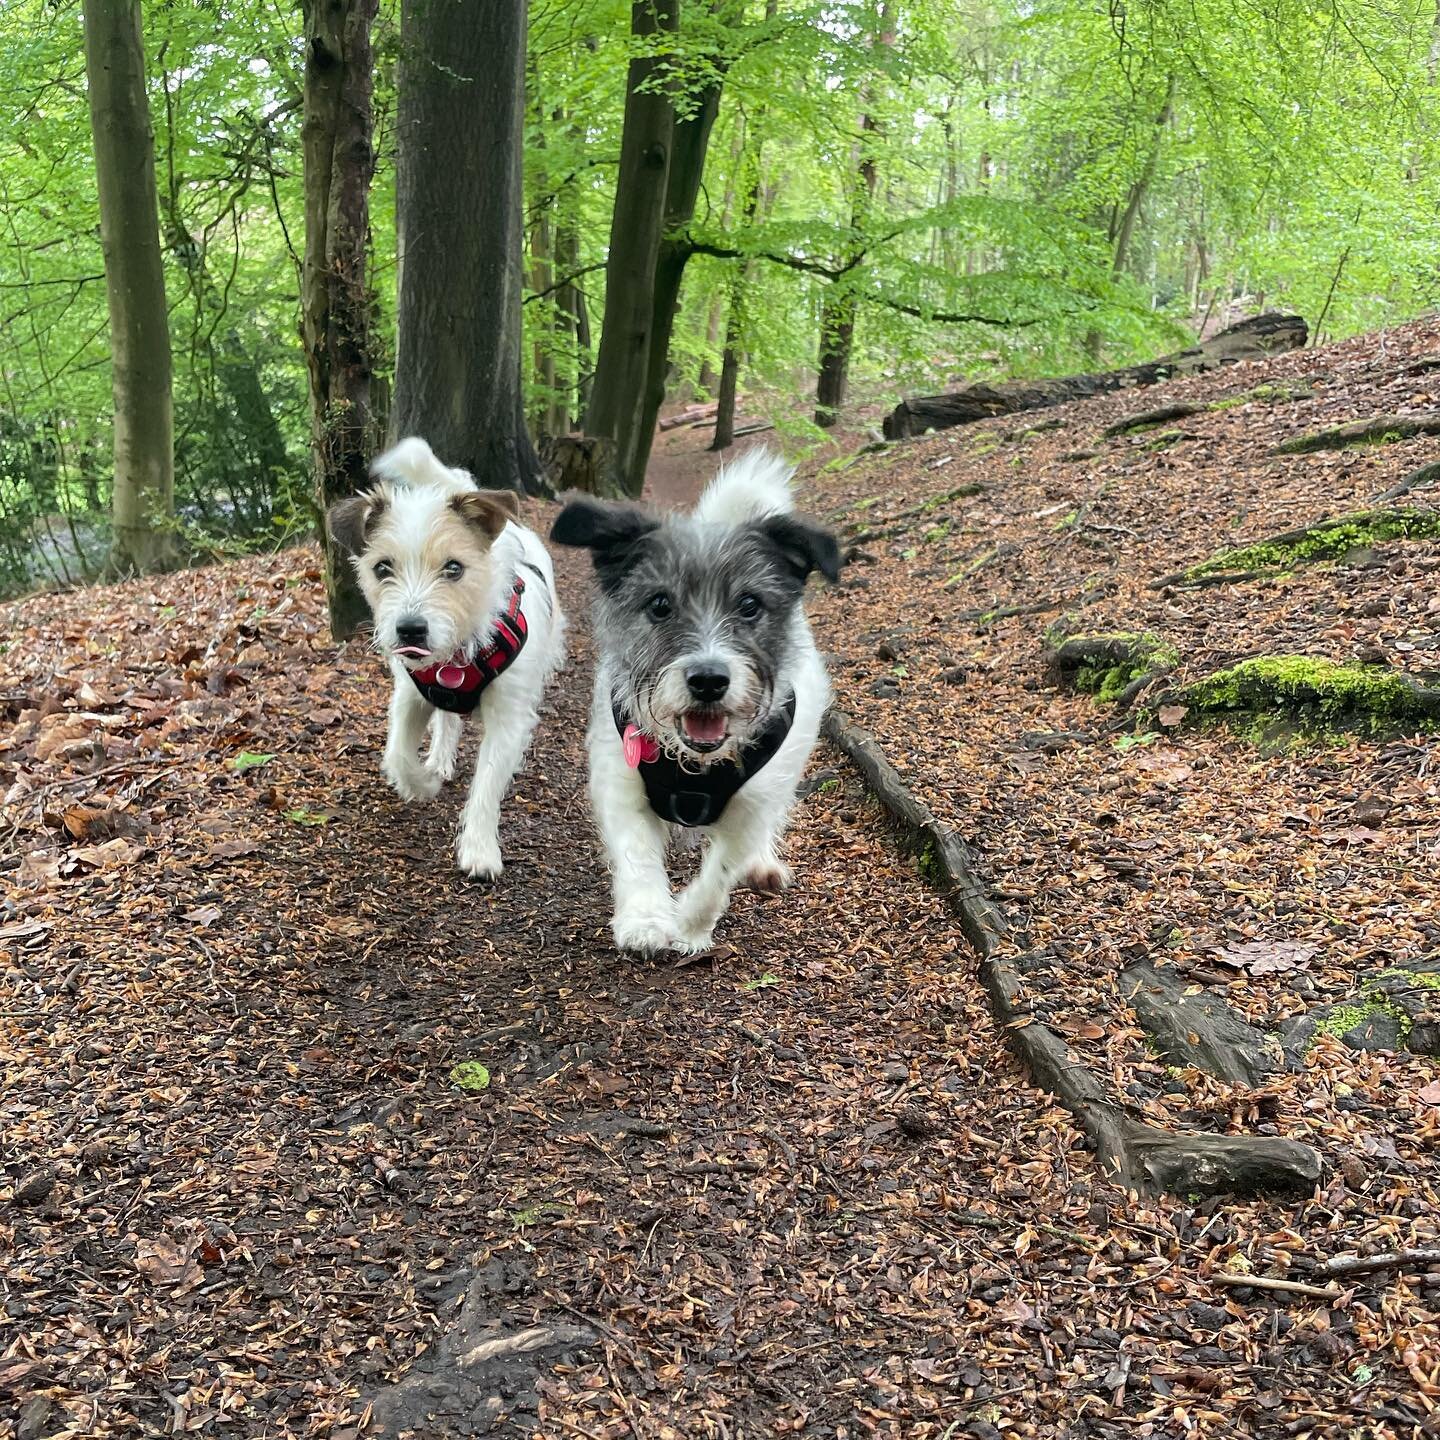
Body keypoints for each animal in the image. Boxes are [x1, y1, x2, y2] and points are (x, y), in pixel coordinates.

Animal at [329, 432, 564, 875]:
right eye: (382, 568)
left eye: (454, 568)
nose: (410, 629)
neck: (459, 653)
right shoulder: (410, 695)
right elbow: (398, 754)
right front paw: (422, 783)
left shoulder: (508, 715)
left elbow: (488, 782)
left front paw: (480, 849)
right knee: (446, 721)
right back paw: (438, 760)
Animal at [552, 443, 840, 950]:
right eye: (659, 604)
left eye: (749, 605)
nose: (708, 679)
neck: (695, 765)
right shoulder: (620, 782)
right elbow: (636, 854)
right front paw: (646, 917)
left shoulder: (752, 803)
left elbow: (720, 873)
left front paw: (689, 924)